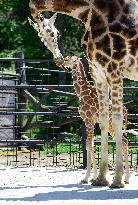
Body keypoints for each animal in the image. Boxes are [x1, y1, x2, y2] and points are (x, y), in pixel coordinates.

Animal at [28, 0, 137, 187]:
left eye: (55, 32)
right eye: (40, 35)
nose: (60, 60)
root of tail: (127, 110)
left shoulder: (112, 73)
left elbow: (88, 144)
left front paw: (93, 177)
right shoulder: (98, 77)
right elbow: (92, 140)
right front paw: (98, 177)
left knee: (122, 137)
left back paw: (123, 178)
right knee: (123, 138)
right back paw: (126, 177)